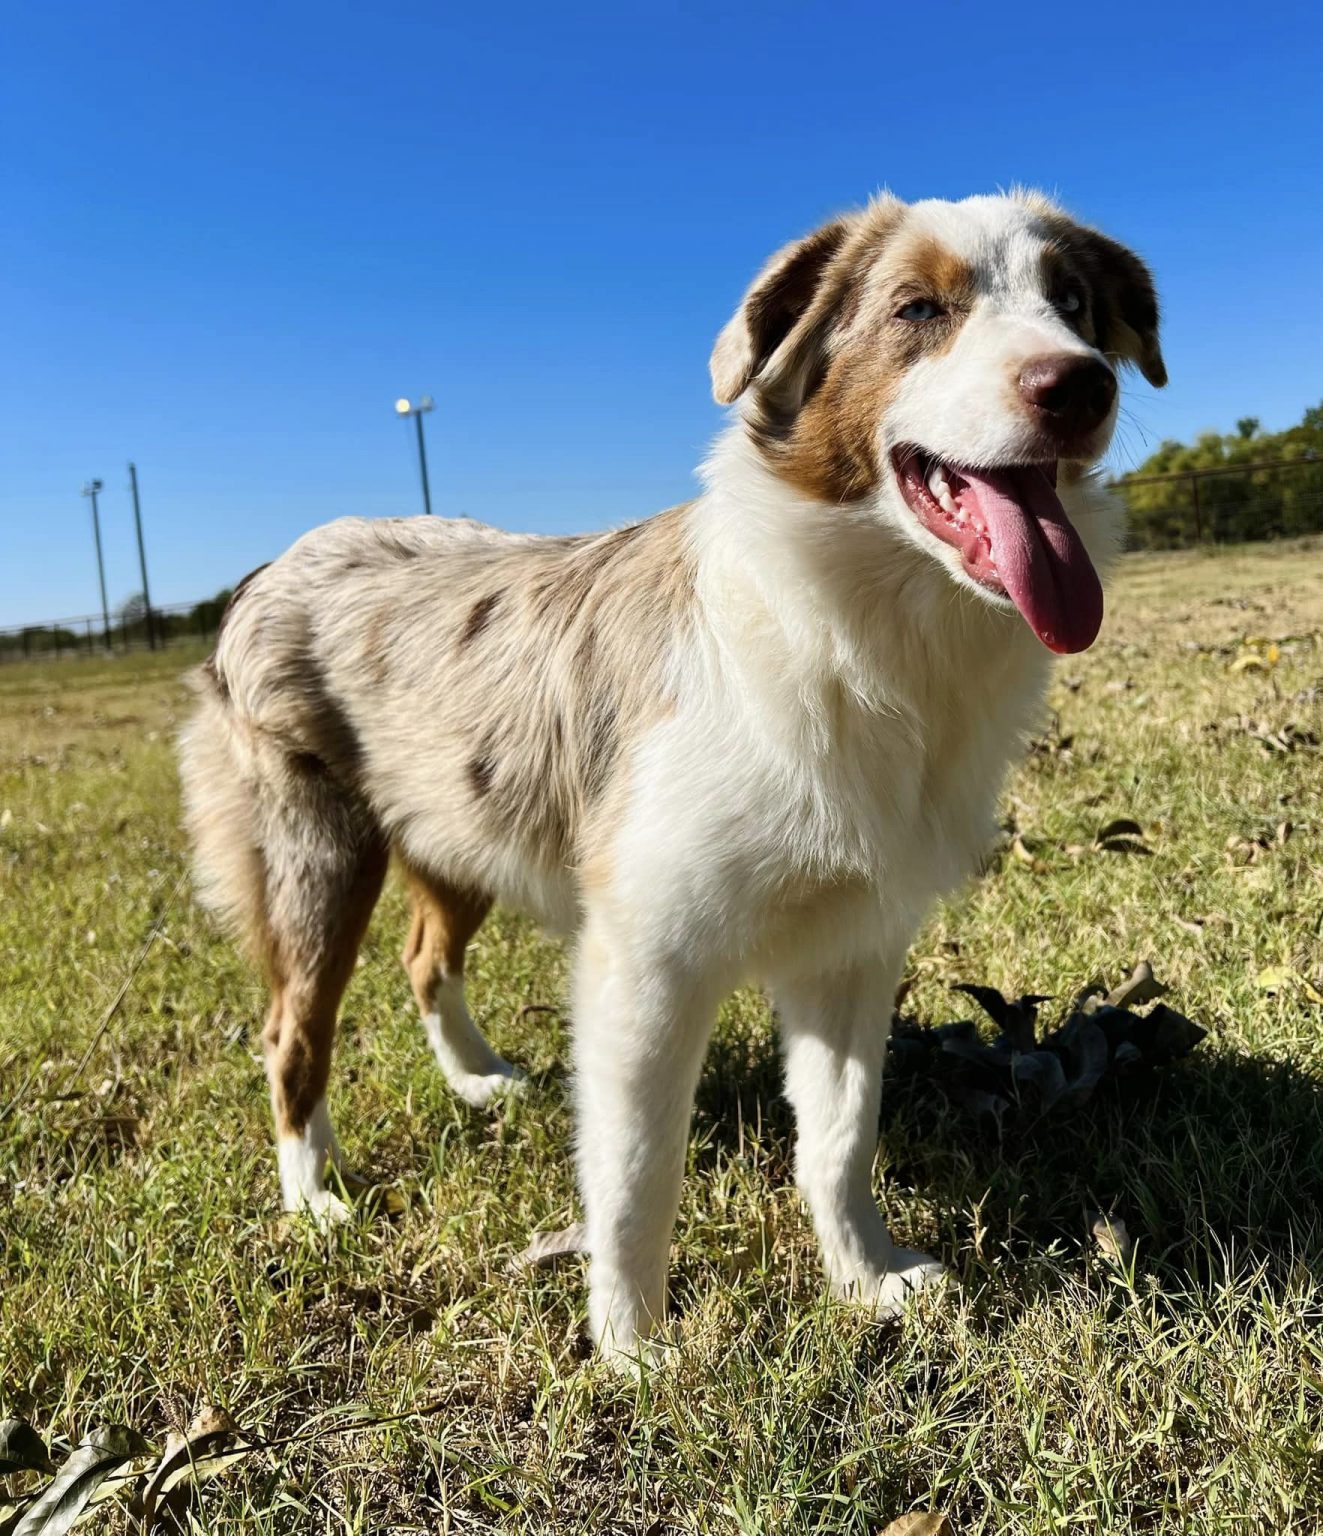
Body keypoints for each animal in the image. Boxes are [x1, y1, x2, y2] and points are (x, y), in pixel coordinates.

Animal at [180, 188, 1161, 1370]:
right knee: (291, 1033)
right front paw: (634, 1348)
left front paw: (864, 1278)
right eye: (918, 309)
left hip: (457, 824)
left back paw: (476, 1082)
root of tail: (271, 565)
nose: (1081, 384)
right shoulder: (648, 958)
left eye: (1075, 304)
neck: (856, 629)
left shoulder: (851, 946)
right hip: (318, 855)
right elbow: (637, 1174)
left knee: (423, 960)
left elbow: (839, 1137)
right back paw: (315, 1200)